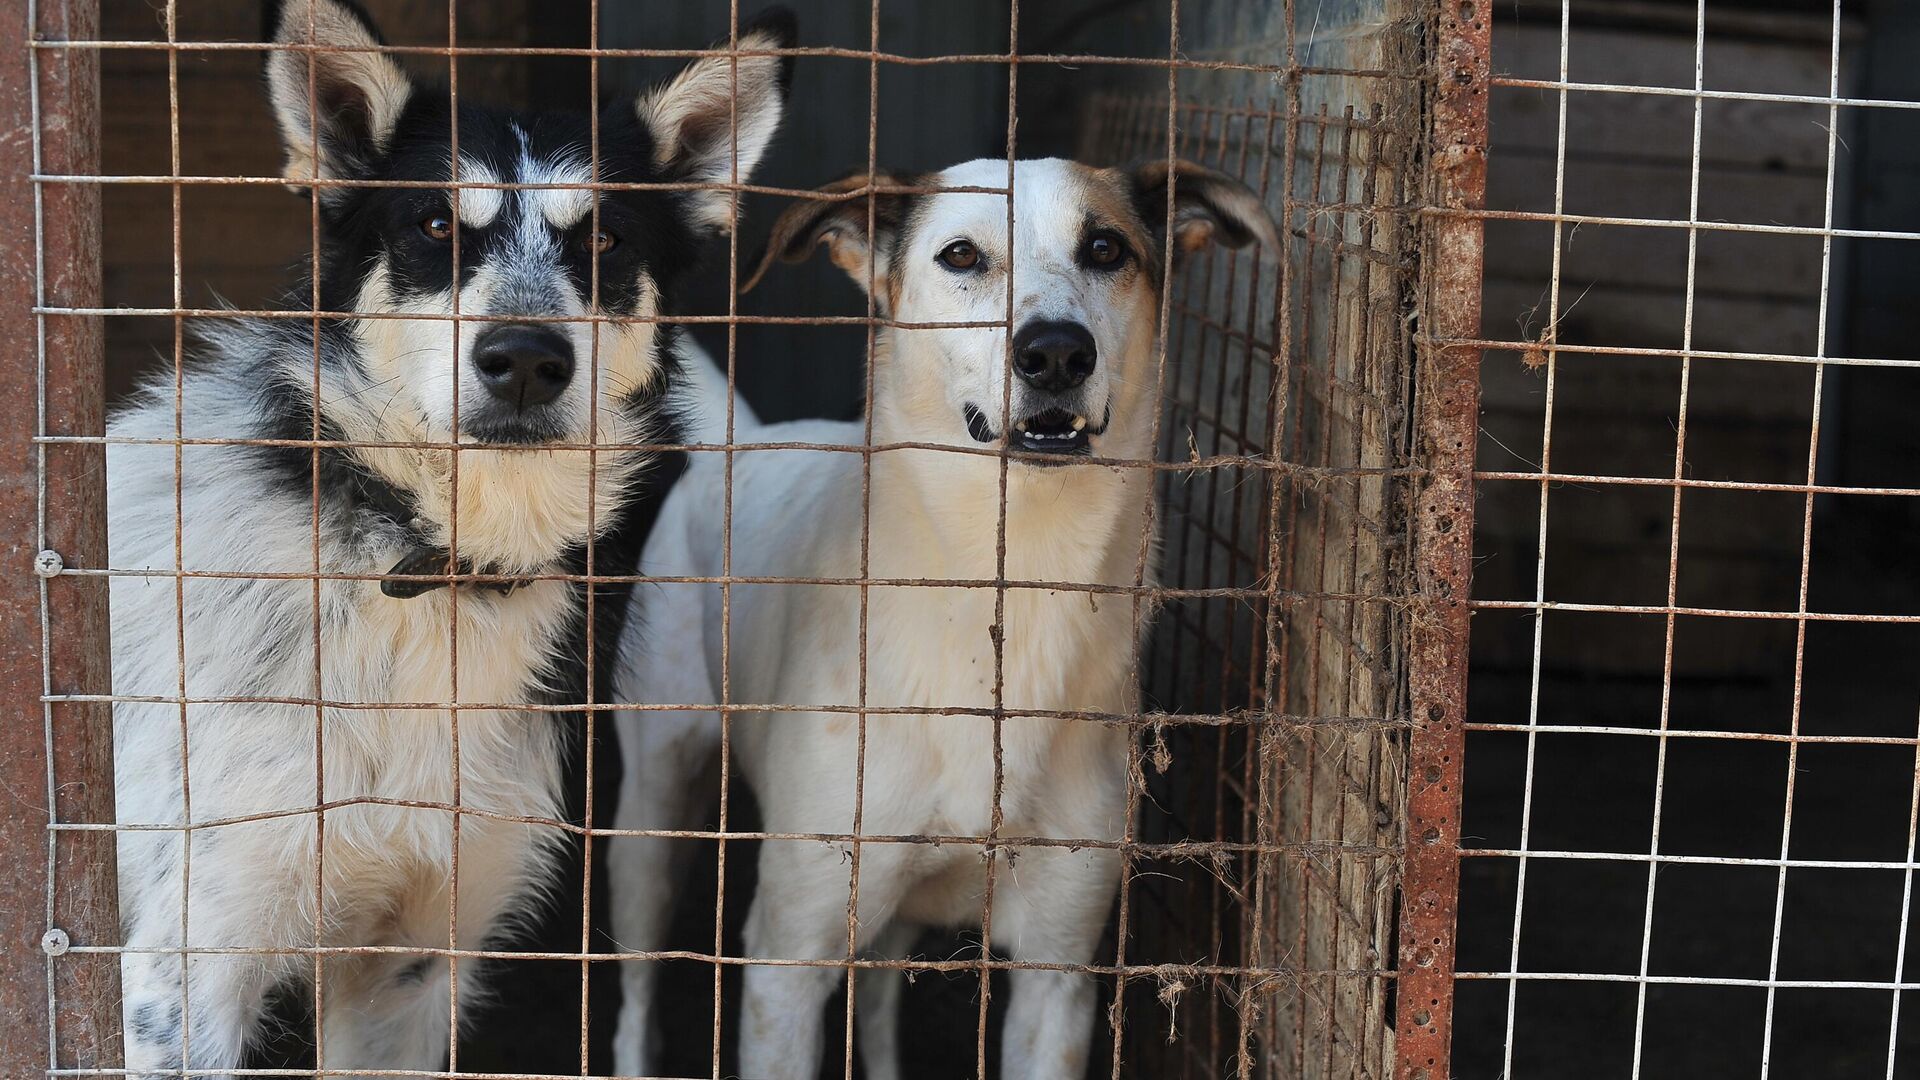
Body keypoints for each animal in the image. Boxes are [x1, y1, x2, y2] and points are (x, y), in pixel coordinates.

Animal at [103, 0, 794, 1060]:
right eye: (434, 225)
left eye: (605, 240)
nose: (525, 360)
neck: (423, 567)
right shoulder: (187, 969)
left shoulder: (413, 965)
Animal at [606, 155, 1282, 1068]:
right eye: (961, 255)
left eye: (1106, 248)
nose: (1056, 352)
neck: (1011, 583)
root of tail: (747, 443)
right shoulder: (787, 961)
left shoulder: (1057, 977)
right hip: (651, 819)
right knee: (635, 993)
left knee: (878, 1006)